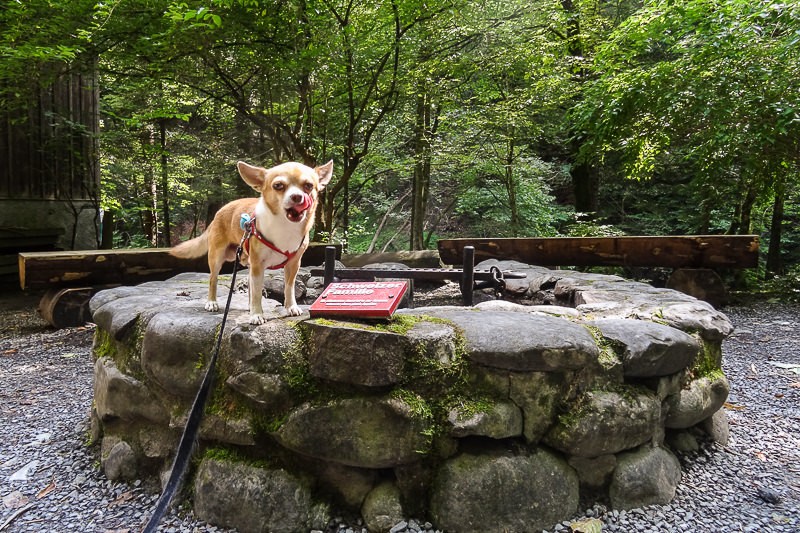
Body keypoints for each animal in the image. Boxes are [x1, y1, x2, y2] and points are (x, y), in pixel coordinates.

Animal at [169, 160, 332, 322]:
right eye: (278, 185)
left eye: (309, 186)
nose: (297, 196)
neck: (284, 226)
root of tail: (219, 211)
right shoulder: (258, 265)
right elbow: (257, 292)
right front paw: (257, 315)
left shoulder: (293, 264)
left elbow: (288, 287)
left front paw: (291, 307)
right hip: (217, 257)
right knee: (213, 279)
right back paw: (212, 302)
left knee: (248, 284)